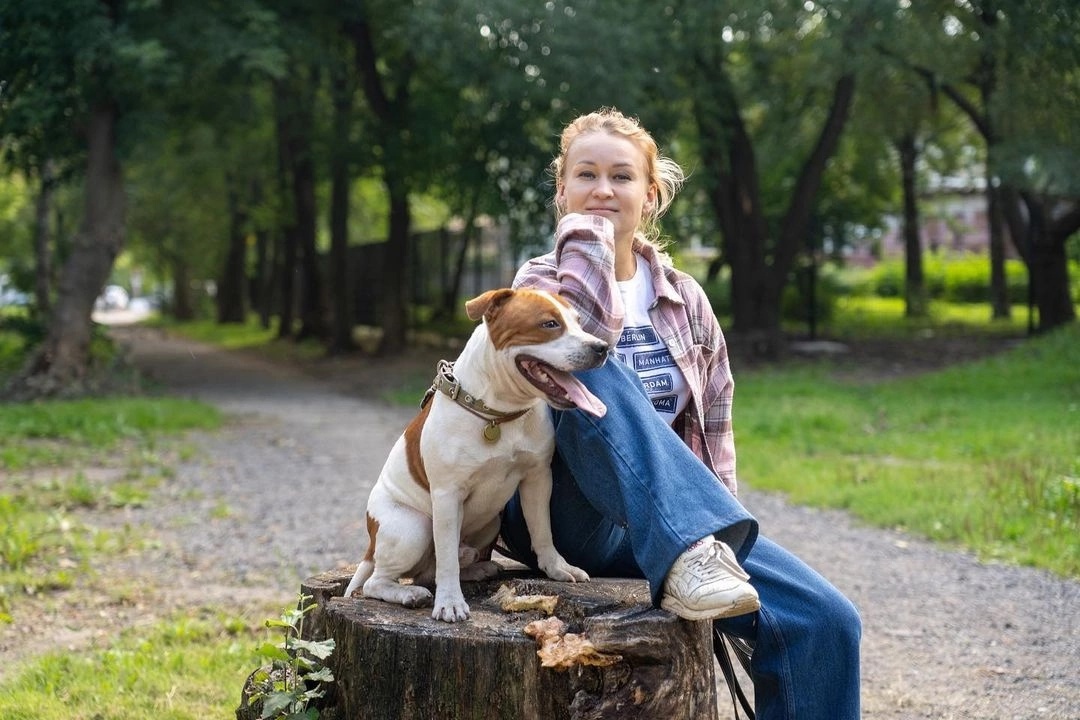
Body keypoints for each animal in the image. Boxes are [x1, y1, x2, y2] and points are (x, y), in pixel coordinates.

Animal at [349, 284, 613, 621]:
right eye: (549, 324)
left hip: (490, 522)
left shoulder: (538, 478)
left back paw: (478, 569)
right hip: (412, 527)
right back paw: (409, 594)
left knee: (430, 570)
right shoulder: (447, 496)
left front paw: (557, 568)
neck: (499, 414)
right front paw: (449, 602)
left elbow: (543, 531)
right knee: (379, 581)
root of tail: (371, 541)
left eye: (579, 322)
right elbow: (447, 556)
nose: (602, 347)